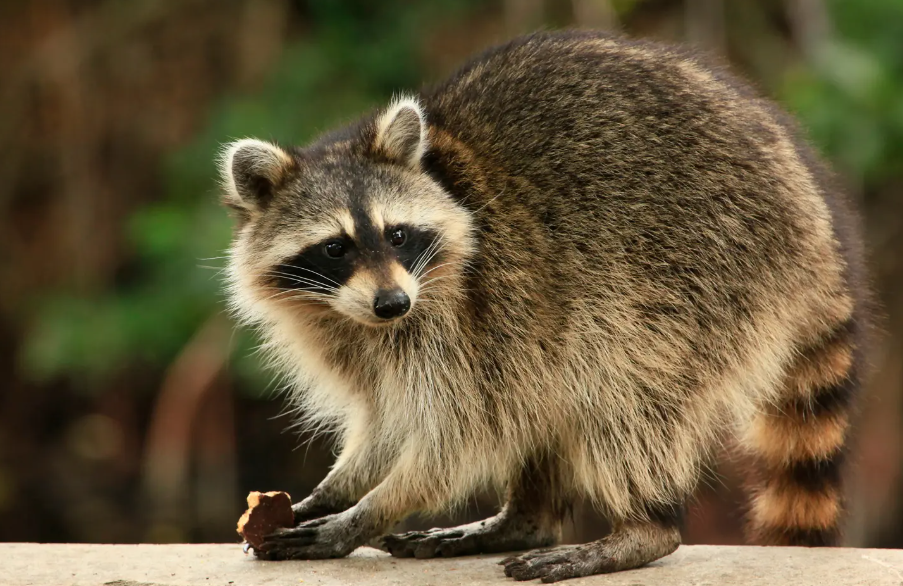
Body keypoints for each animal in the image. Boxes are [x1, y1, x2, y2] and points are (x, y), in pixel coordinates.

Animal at [219, 31, 867, 582]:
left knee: (624, 386)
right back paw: (525, 520)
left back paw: (642, 528)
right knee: (548, 393)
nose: (393, 303)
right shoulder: (356, 334)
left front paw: (366, 513)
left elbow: (455, 435)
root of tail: (814, 214)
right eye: (335, 248)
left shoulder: (467, 311)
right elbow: (387, 419)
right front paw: (339, 487)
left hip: (706, 270)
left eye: (397, 235)